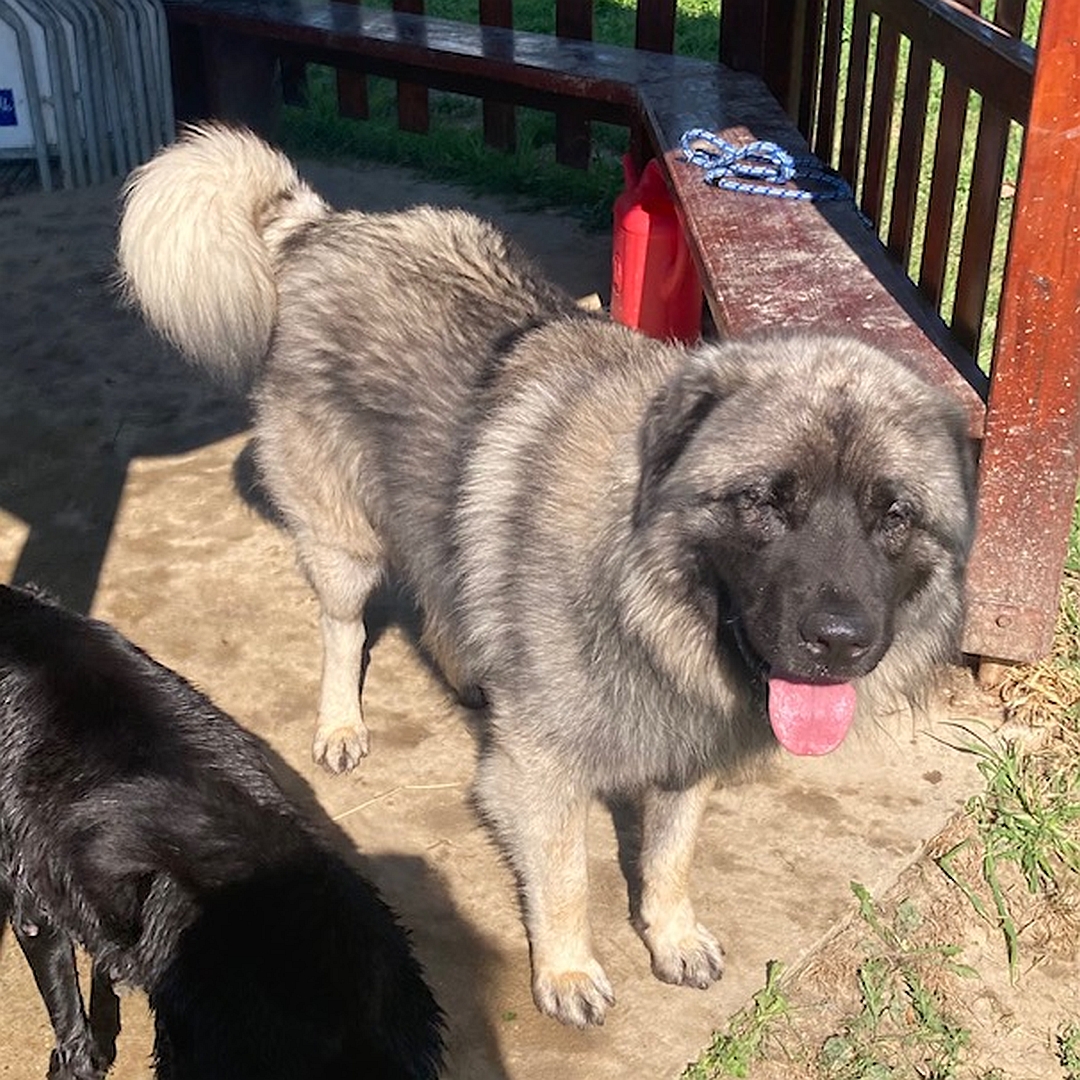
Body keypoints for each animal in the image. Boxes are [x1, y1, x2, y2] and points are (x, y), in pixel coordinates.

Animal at [118, 122, 980, 1023]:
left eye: (894, 515)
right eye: (764, 501)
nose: (842, 642)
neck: (643, 591)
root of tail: (324, 227)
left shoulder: (685, 756)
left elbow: (671, 855)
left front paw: (671, 935)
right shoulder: (544, 769)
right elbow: (565, 875)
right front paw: (566, 970)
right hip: (343, 542)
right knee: (344, 627)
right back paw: (342, 723)